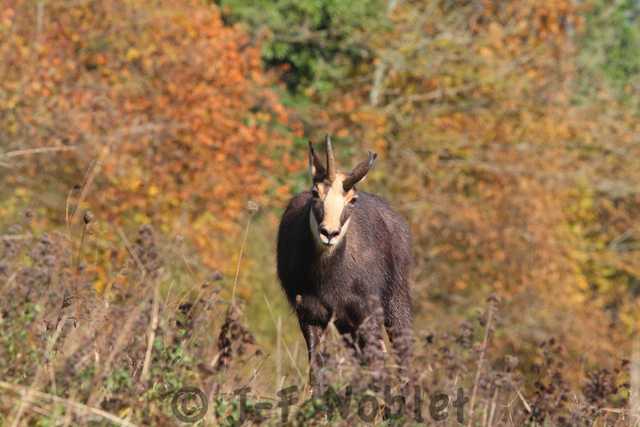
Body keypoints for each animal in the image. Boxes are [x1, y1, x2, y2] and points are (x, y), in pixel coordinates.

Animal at [276, 135, 412, 391]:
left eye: (352, 199)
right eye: (315, 192)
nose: (329, 233)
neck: (327, 277)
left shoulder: (367, 312)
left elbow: (378, 363)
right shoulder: (310, 313)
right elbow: (316, 368)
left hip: (395, 299)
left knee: (401, 352)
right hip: (346, 324)